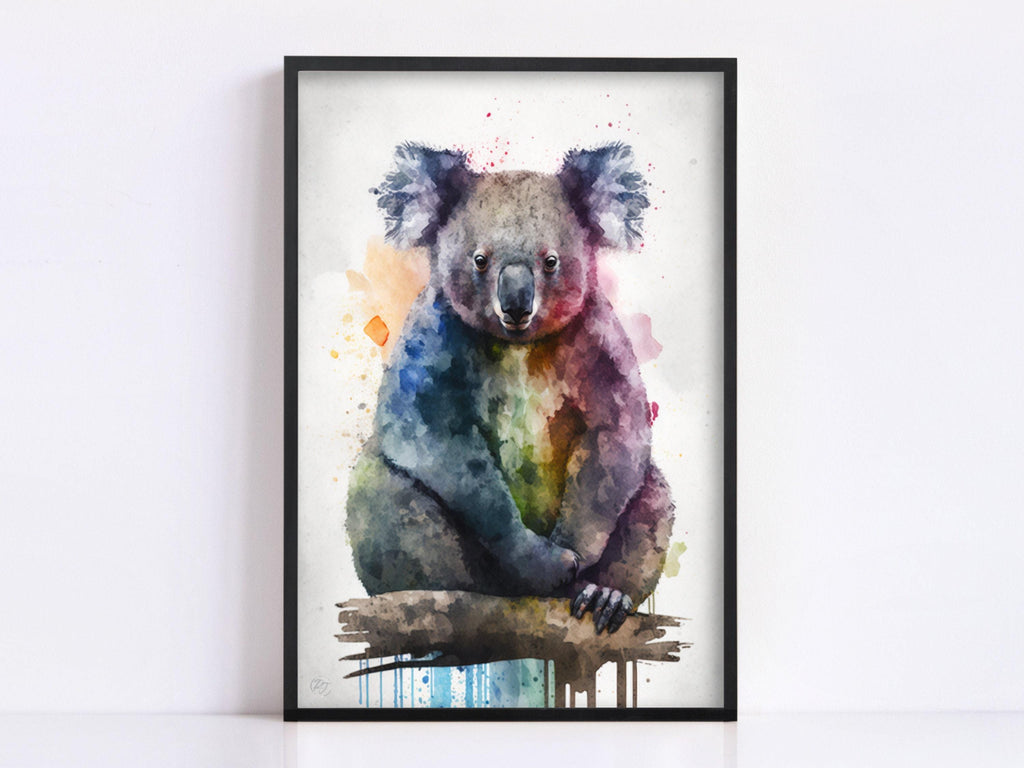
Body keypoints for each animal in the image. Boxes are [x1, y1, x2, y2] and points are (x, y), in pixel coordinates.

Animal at [345, 142, 675, 635]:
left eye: (550, 261)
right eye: (480, 260)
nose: (516, 304)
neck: (520, 346)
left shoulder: (600, 339)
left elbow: (616, 437)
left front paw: (575, 560)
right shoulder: (432, 337)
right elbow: (433, 437)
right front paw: (549, 564)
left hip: (649, 506)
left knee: (652, 499)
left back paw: (606, 596)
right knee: (384, 492)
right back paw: (451, 597)